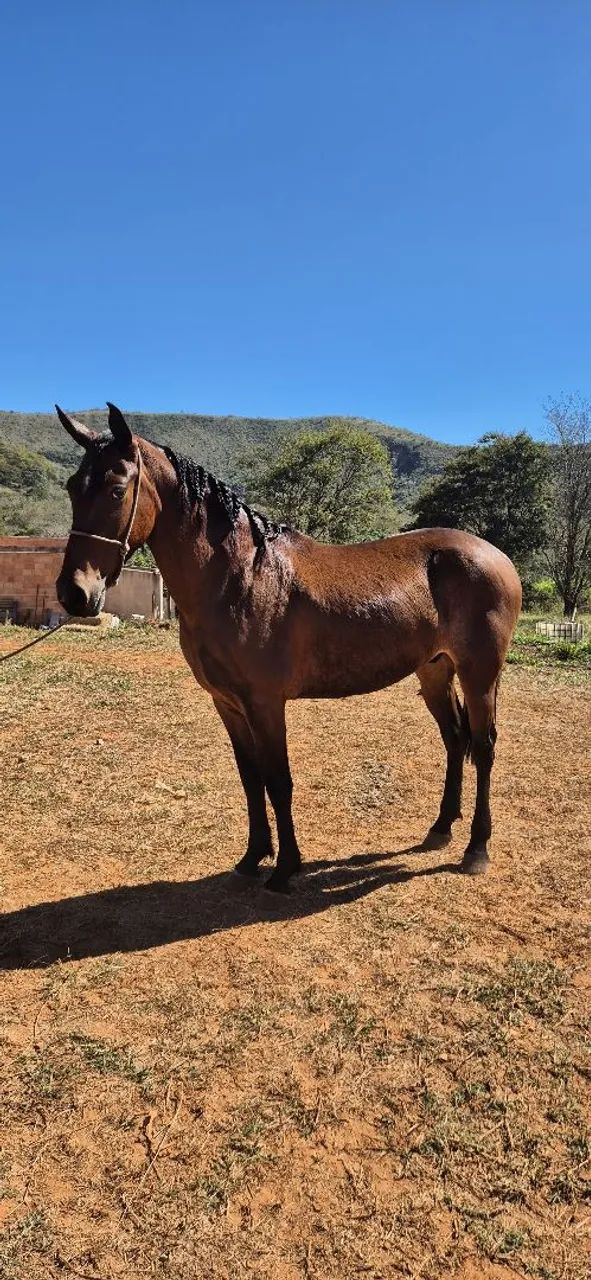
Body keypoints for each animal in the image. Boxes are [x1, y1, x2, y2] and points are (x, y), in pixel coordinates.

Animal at [55, 403, 522, 893]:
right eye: (73, 487)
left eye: (116, 489)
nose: (74, 593)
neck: (241, 576)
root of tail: (496, 556)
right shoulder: (228, 704)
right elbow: (250, 778)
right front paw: (253, 856)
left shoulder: (265, 703)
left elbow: (278, 780)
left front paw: (285, 868)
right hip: (435, 670)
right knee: (454, 739)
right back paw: (441, 829)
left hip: (479, 675)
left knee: (483, 746)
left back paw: (476, 849)